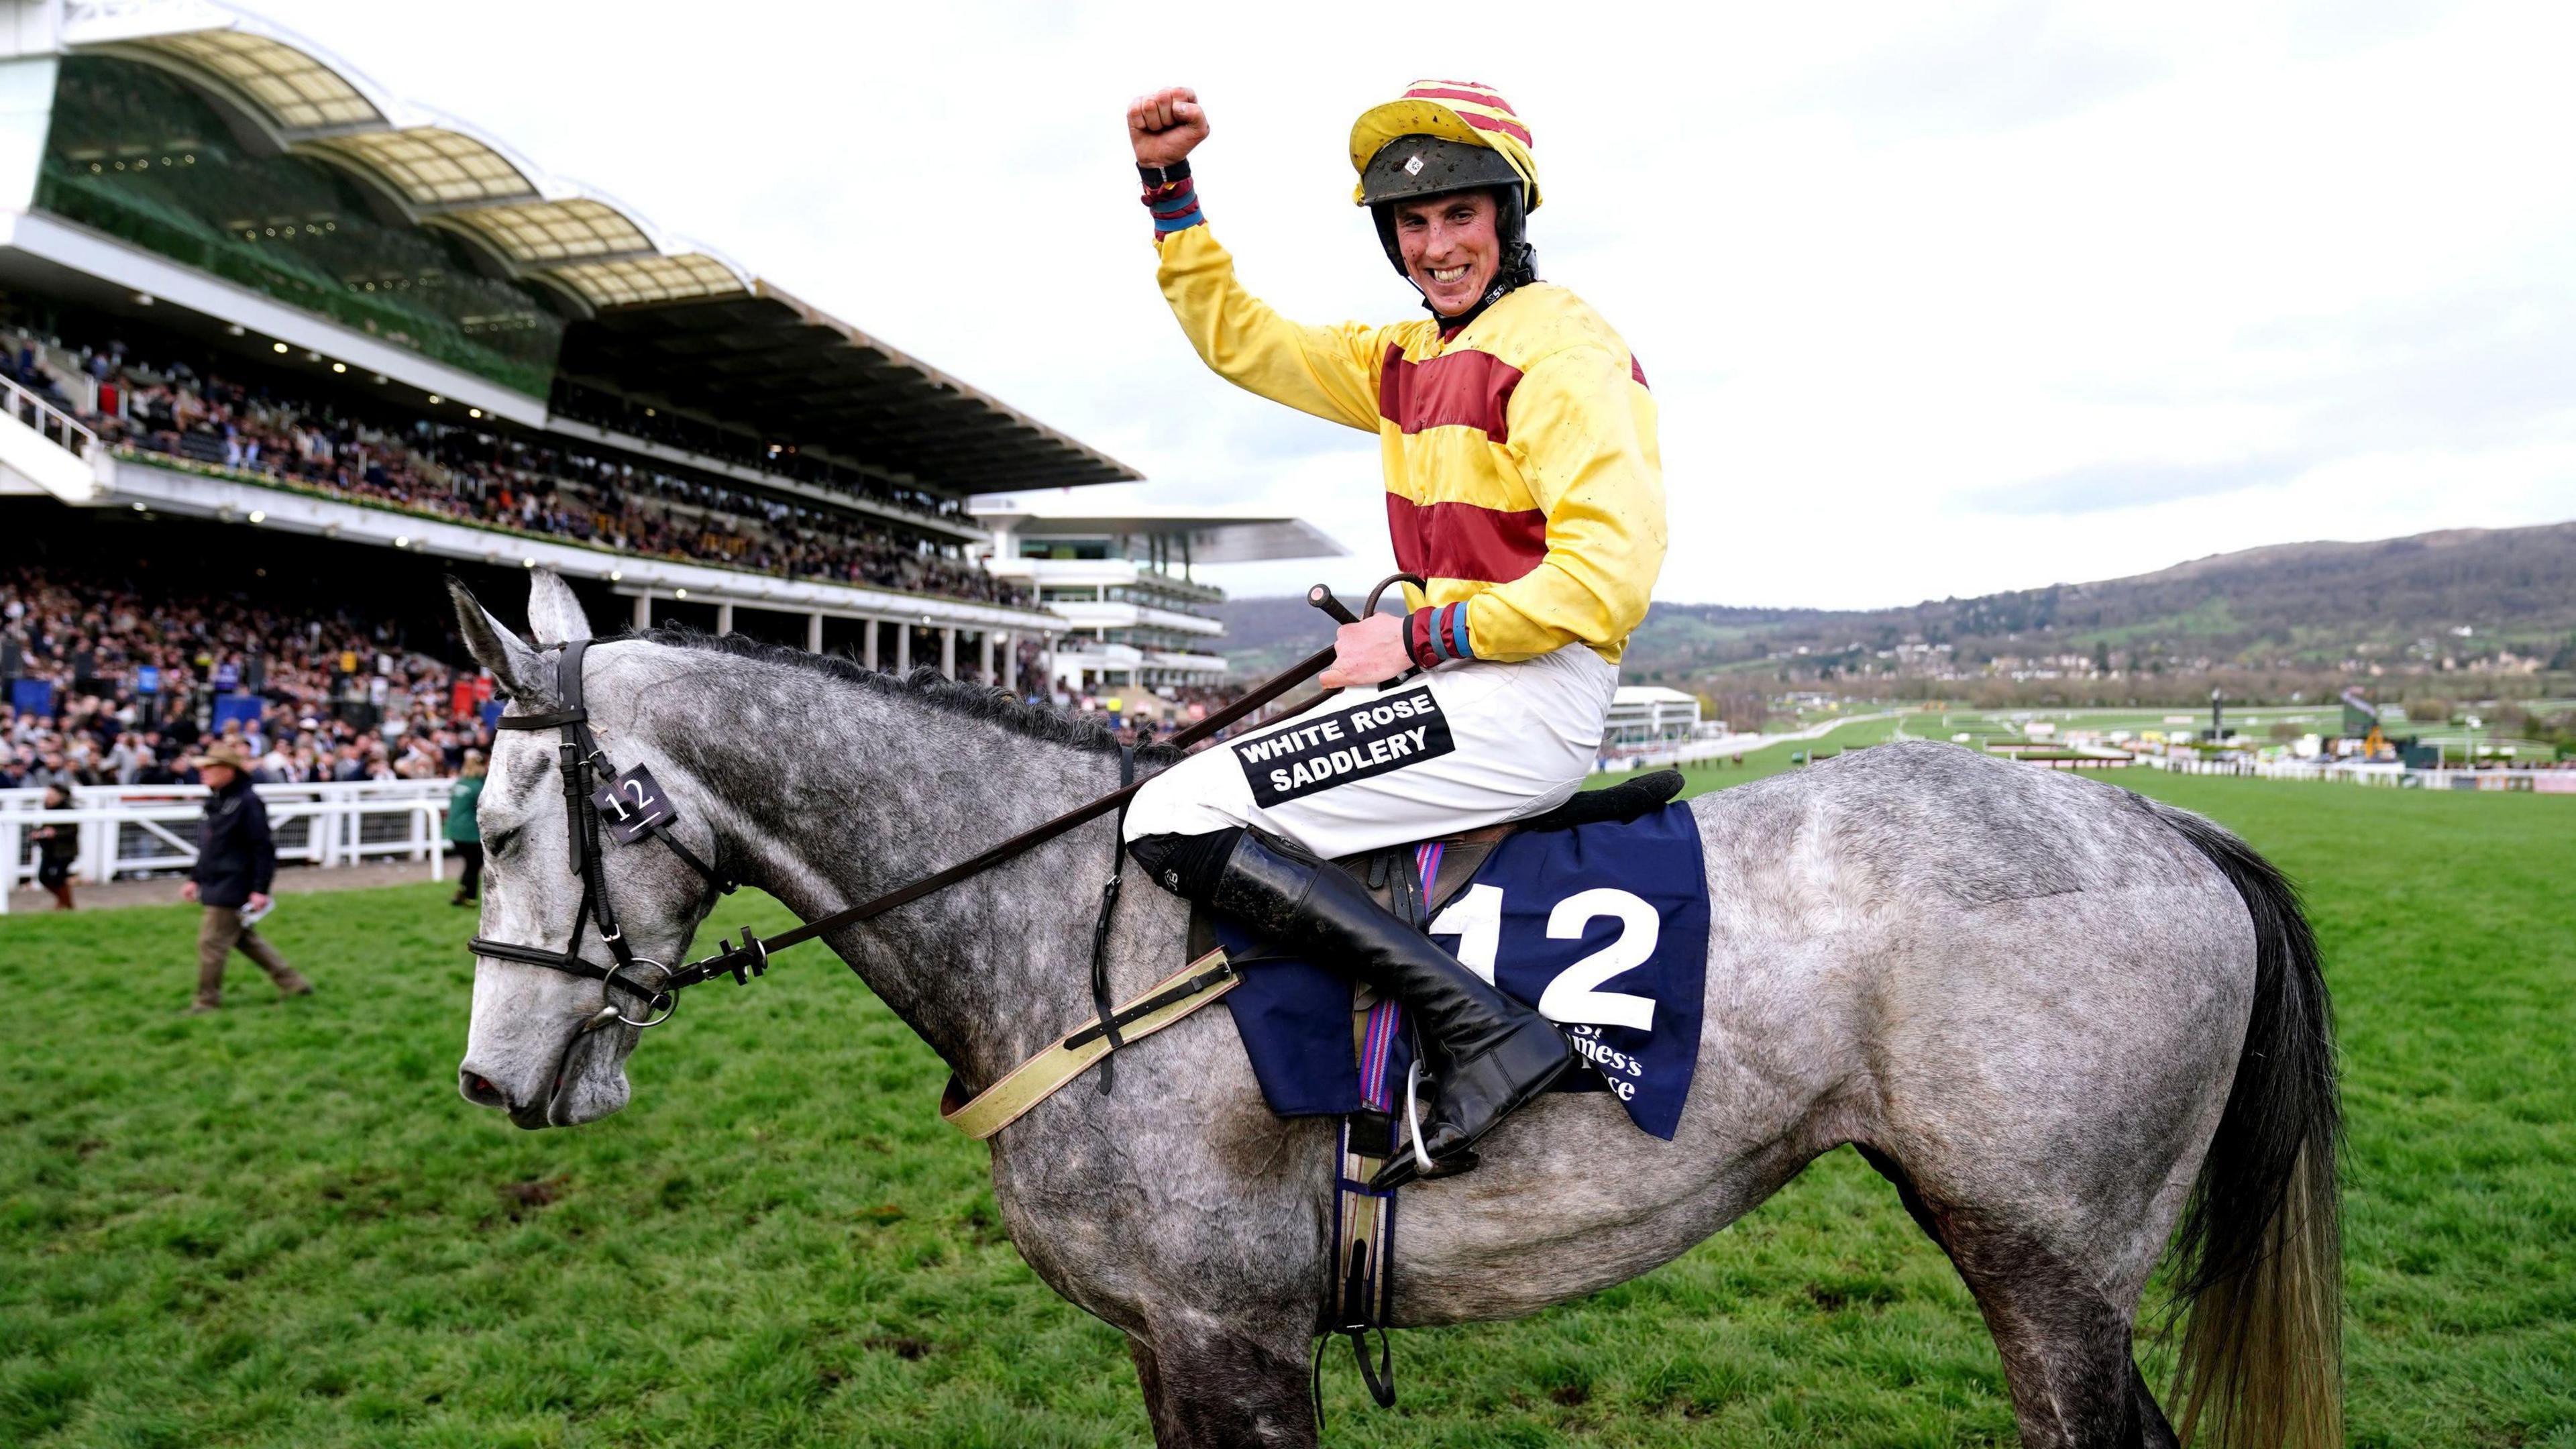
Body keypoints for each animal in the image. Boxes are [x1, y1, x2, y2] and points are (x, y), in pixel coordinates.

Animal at [453, 567, 2349, 1444]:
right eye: (462, 832)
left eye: (513, 826)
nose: (489, 1081)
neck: (1072, 923)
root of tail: (2160, 818)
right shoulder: (1166, 1336)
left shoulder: (1234, 1325)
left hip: (2047, 1256)